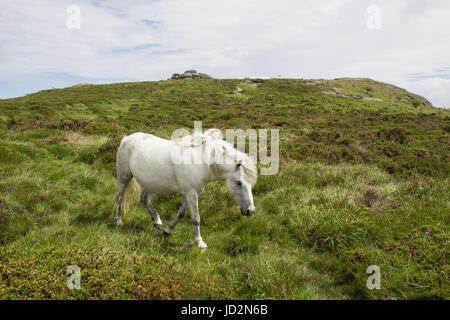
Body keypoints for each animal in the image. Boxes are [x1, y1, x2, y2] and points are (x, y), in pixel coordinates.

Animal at [114, 129, 258, 248]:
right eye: (239, 183)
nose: (250, 211)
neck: (202, 163)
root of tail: (126, 138)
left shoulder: (186, 194)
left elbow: (181, 214)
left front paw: (168, 230)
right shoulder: (191, 194)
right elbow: (196, 218)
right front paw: (200, 243)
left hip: (150, 184)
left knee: (145, 198)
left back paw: (157, 221)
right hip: (124, 178)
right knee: (119, 198)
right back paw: (119, 222)